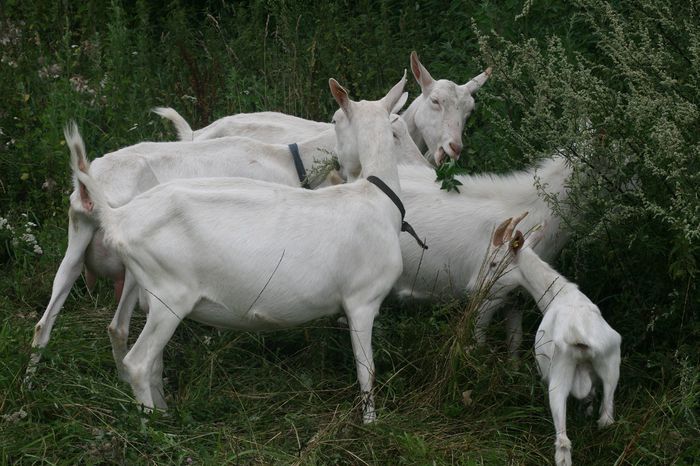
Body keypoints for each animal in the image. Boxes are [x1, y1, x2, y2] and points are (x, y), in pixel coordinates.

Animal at [66, 75, 416, 422]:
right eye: (334, 119)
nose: (340, 166)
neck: (376, 195)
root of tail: (119, 217)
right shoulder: (362, 300)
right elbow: (366, 372)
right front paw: (370, 423)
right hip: (170, 294)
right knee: (138, 362)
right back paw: (153, 425)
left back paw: (163, 411)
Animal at [490, 214, 620, 466]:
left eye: (493, 263)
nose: (480, 287)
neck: (559, 293)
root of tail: (580, 337)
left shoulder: (545, 370)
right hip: (611, 366)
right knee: (606, 419)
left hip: (558, 377)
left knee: (562, 443)